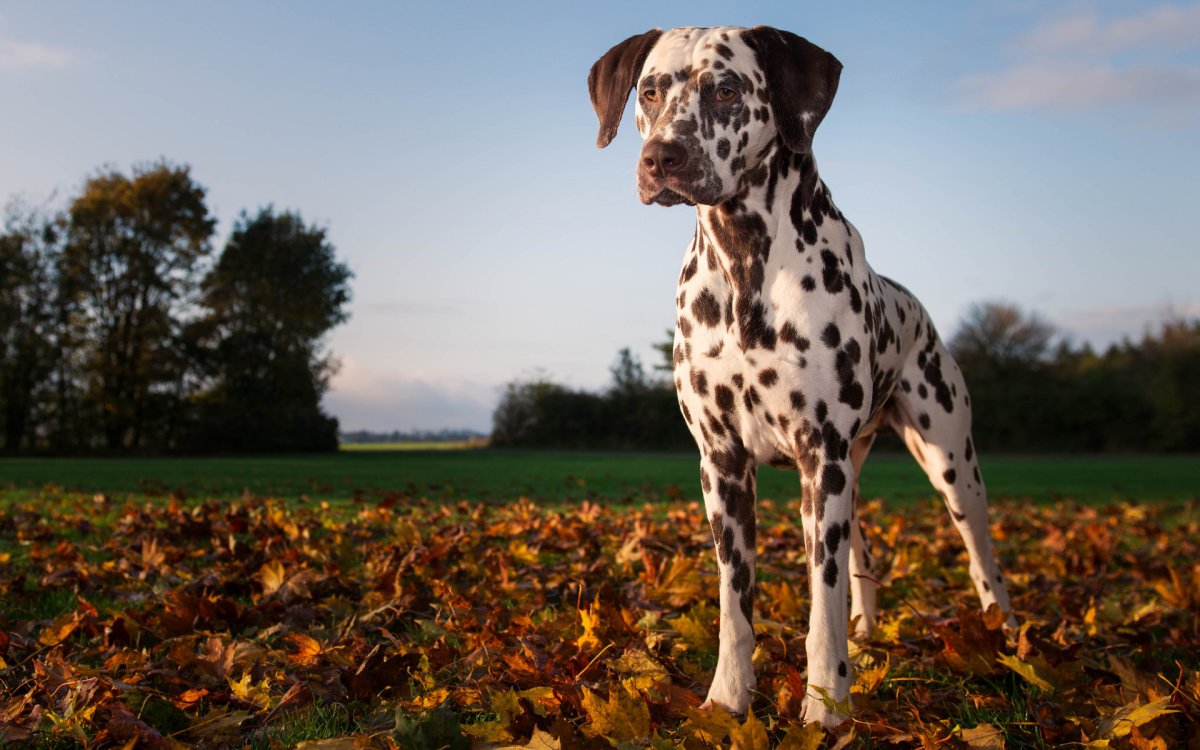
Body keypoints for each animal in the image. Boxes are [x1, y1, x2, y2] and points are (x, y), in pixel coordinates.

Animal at [588, 27, 1012, 724]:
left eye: (725, 90)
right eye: (649, 91)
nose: (660, 158)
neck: (744, 265)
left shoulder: (822, 456)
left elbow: (822, 605)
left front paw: (827, 708)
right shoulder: (723, 464)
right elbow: (736, 605)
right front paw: (728, 700)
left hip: (949, 461)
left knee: (982, 558)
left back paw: (1004, 636)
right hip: (848, 476)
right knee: (862, 552)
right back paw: (868, 633)